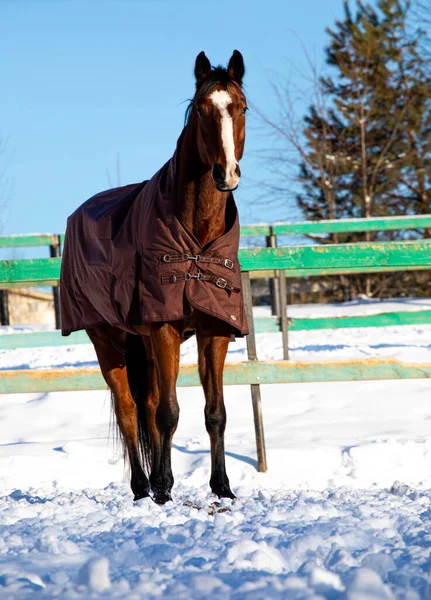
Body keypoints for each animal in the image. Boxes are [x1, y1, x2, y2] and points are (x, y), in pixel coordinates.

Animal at [61, 51, 250, 504]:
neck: (196, 241)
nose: (226, 173)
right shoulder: (164, 327)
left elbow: (214, 413)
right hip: (105, 339)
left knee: (144, 404)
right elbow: (168, 413)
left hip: (141, 342)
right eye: (200, 108)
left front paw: (222, 487)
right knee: (130, 409)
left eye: (242, 108)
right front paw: (164, 487)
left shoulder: (214, 329)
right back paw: (141, 486)